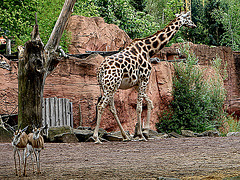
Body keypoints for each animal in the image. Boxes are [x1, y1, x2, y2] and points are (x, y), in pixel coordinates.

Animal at [93, 10, 196, 143]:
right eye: (188, 18)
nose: (194, 25)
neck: (149, 50)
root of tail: (101, 70)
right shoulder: (144, 79)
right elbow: (139, 107)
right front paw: (142, 135)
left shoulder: (137, 83)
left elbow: (150, 103)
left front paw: (145, 132)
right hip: (110, 86)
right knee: (101, 106)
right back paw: (96, 137)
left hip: (108, 87)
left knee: (111, 108)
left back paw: (125, 136)